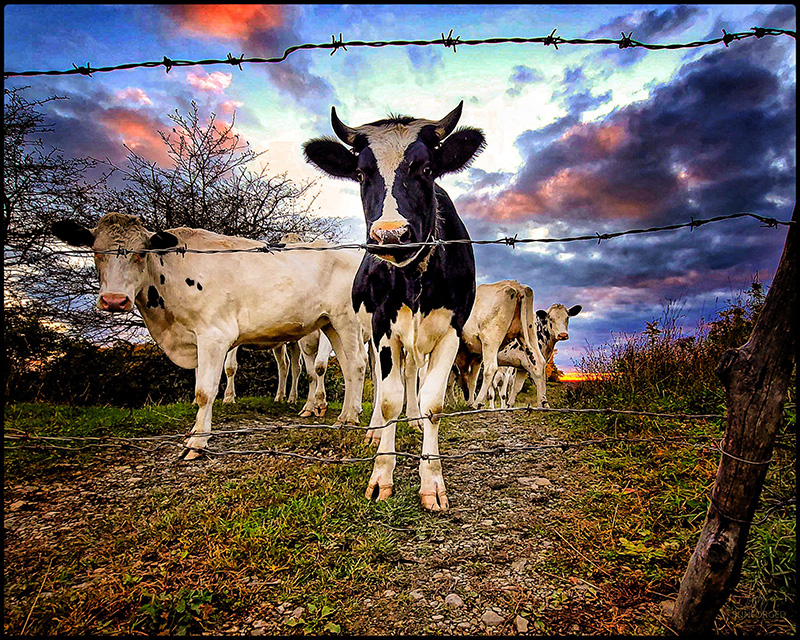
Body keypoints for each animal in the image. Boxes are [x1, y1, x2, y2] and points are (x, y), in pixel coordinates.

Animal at [51, 213, 366, 459]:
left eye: (141, 253)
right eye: (96, 251)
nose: (114, 300)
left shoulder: (214, 335)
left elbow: (205, 391)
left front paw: (197, 441)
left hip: (346, 320)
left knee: (357, 364)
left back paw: (350, 418)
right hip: (329, 323)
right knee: (344, 366)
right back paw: (344, 413)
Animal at [303, 101, 484, 512]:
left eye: (427, 169)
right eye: (360, 173)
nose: (391, 235)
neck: (415, 276)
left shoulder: (452, 329)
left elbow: (432, 401)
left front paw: (431, 481)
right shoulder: (383, 326)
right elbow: (388, 400)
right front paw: (381, 474)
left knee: (412, 374)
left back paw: (412, 420)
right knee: (379, 375)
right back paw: (373, 430)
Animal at [454, 280, 549, 410]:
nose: (466, 395)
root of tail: (516, 285)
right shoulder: (477, 356)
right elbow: (473, 379)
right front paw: (469, 401)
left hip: (491, 338)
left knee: (490, 368)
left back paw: (477, 403)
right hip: (529, 333)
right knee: (539, 363)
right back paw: (542, 403)